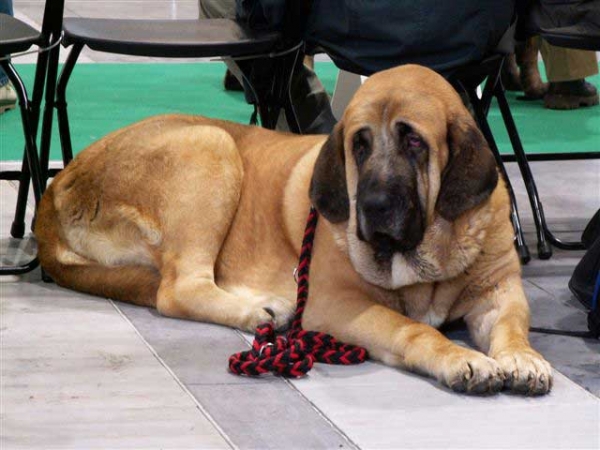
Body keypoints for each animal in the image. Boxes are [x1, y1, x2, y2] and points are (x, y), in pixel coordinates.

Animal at [35, 65, 552, 396]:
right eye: (359, 144)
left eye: (413, 141)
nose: (373, 206)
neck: (427, 257)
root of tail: (57, 186)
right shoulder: (338, 305)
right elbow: (412, 328)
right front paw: (460, 357)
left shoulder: (499, 289)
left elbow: (512, 325)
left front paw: (522, 358)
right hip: (210, 145)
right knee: (178, 289)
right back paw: (258, 310)